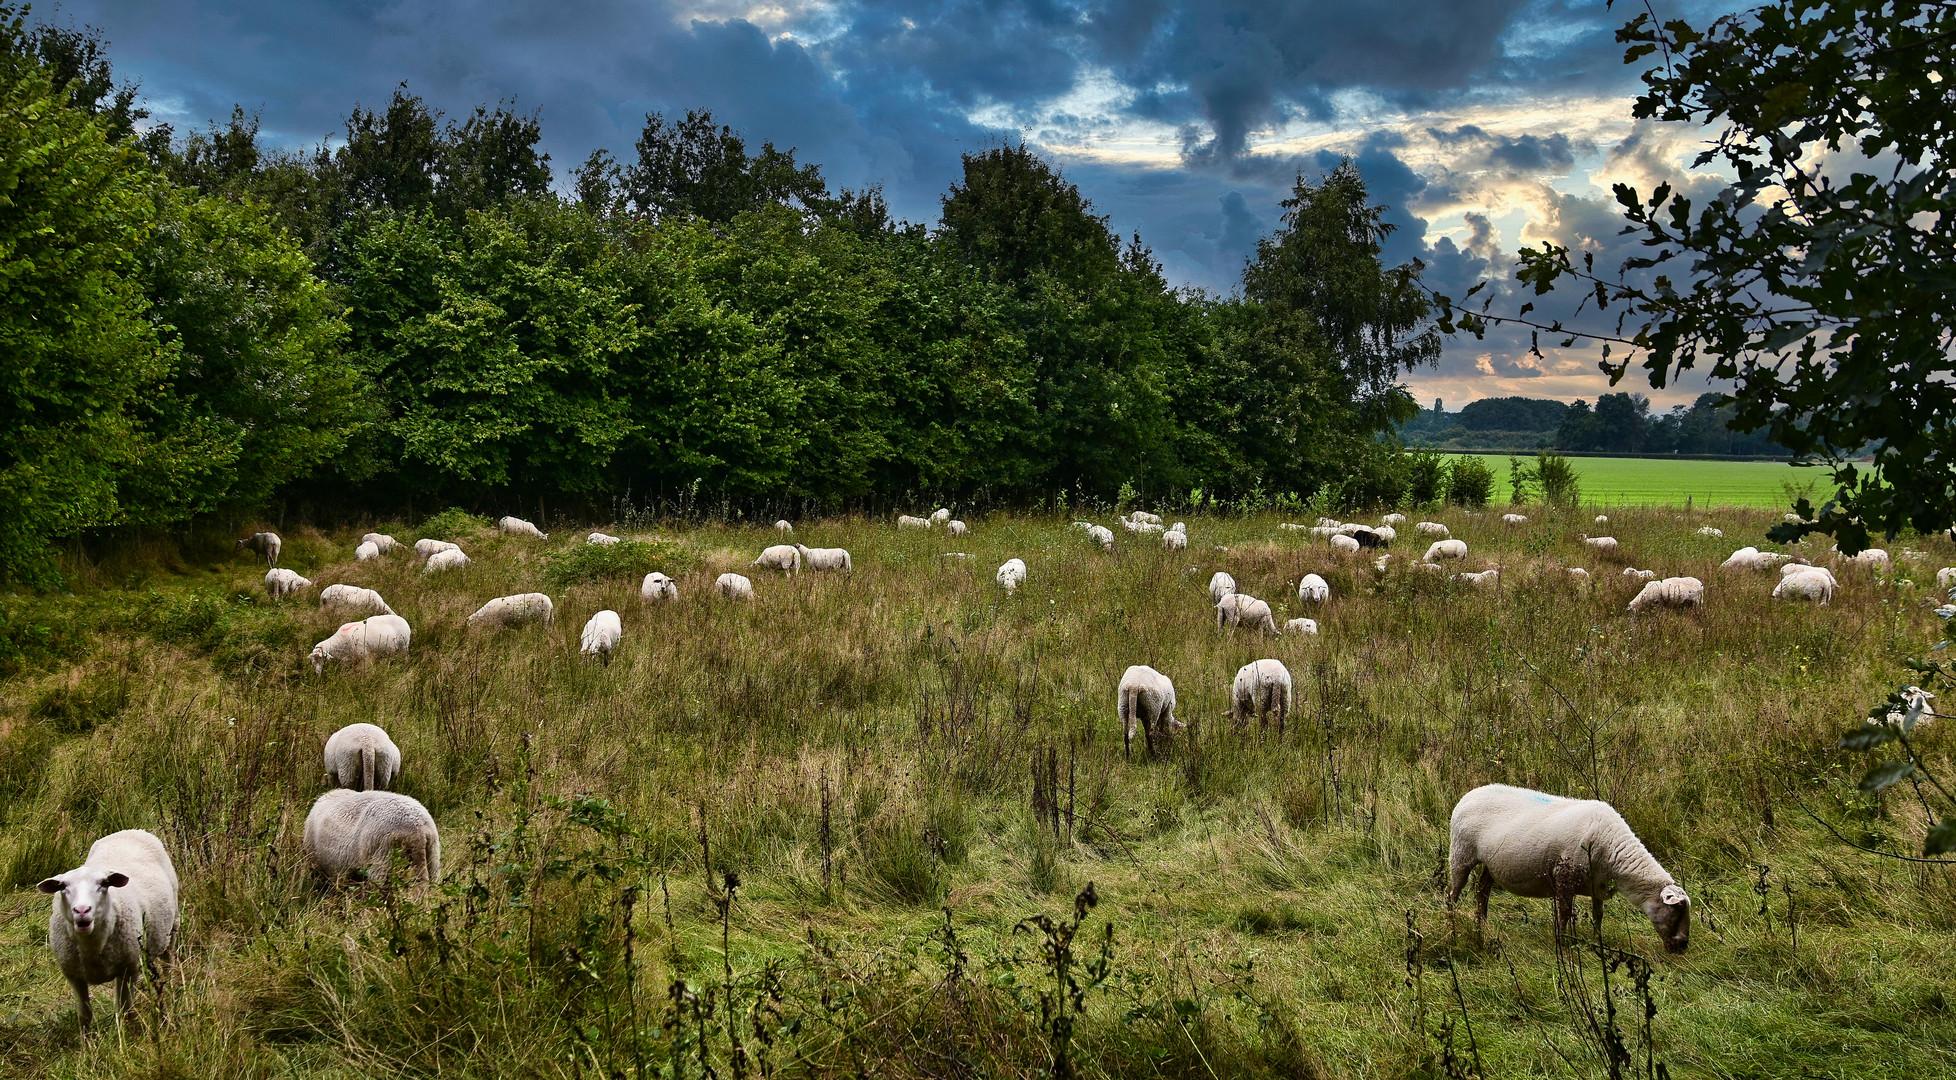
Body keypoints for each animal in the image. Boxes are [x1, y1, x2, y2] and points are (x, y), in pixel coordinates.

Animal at [37, 829, 177, 1033]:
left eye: (104, 884)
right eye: (63, 886)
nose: (82, 910)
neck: (92, 946)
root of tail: (129, 831)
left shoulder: (128, 969)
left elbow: (125, 1011)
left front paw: (125, 1036)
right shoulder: (73, 976)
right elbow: (84, 1016)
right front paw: (87, 1040)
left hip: (173, 927)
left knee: (169, 961)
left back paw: (172, 987)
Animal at [1447, 786, 1689, 954]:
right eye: (1677, 910)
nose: (1683, 947)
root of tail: (1469, 794)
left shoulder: (1596, 883)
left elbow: (1598, 914)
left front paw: (1597, 938)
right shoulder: (1564, 876)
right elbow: (1564, 913)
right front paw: (1563, 943)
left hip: (1491, 863)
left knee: (1482, 891)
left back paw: (1482, 925)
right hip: (1461, 852)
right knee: (1452, 894)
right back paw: (1452, 925)